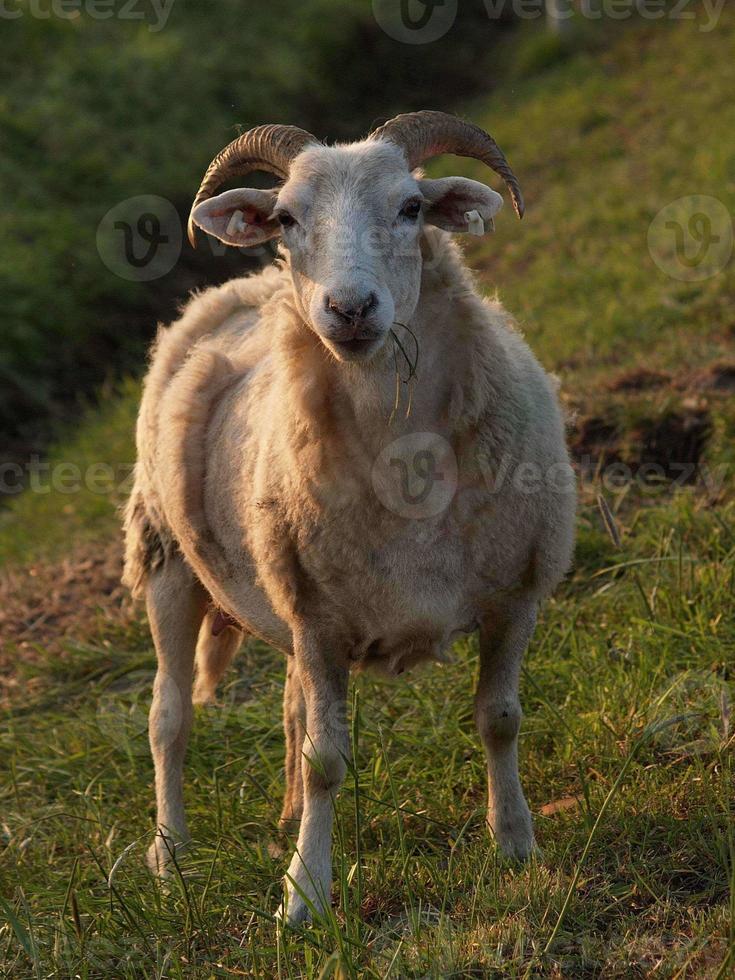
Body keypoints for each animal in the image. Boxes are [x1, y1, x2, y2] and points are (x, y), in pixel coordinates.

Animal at [123, 111, 576, 924]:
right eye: (287, 218)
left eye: (411, 207)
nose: (350, 309)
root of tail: (240, 284)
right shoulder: (320, 624)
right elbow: (327, 761)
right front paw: (304, 896)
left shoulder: (512, 596)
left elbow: (499, 720)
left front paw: (517, 846)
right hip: (169, 562)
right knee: (168, 719)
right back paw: (169, 857)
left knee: (288, 704)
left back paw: (280, 818)